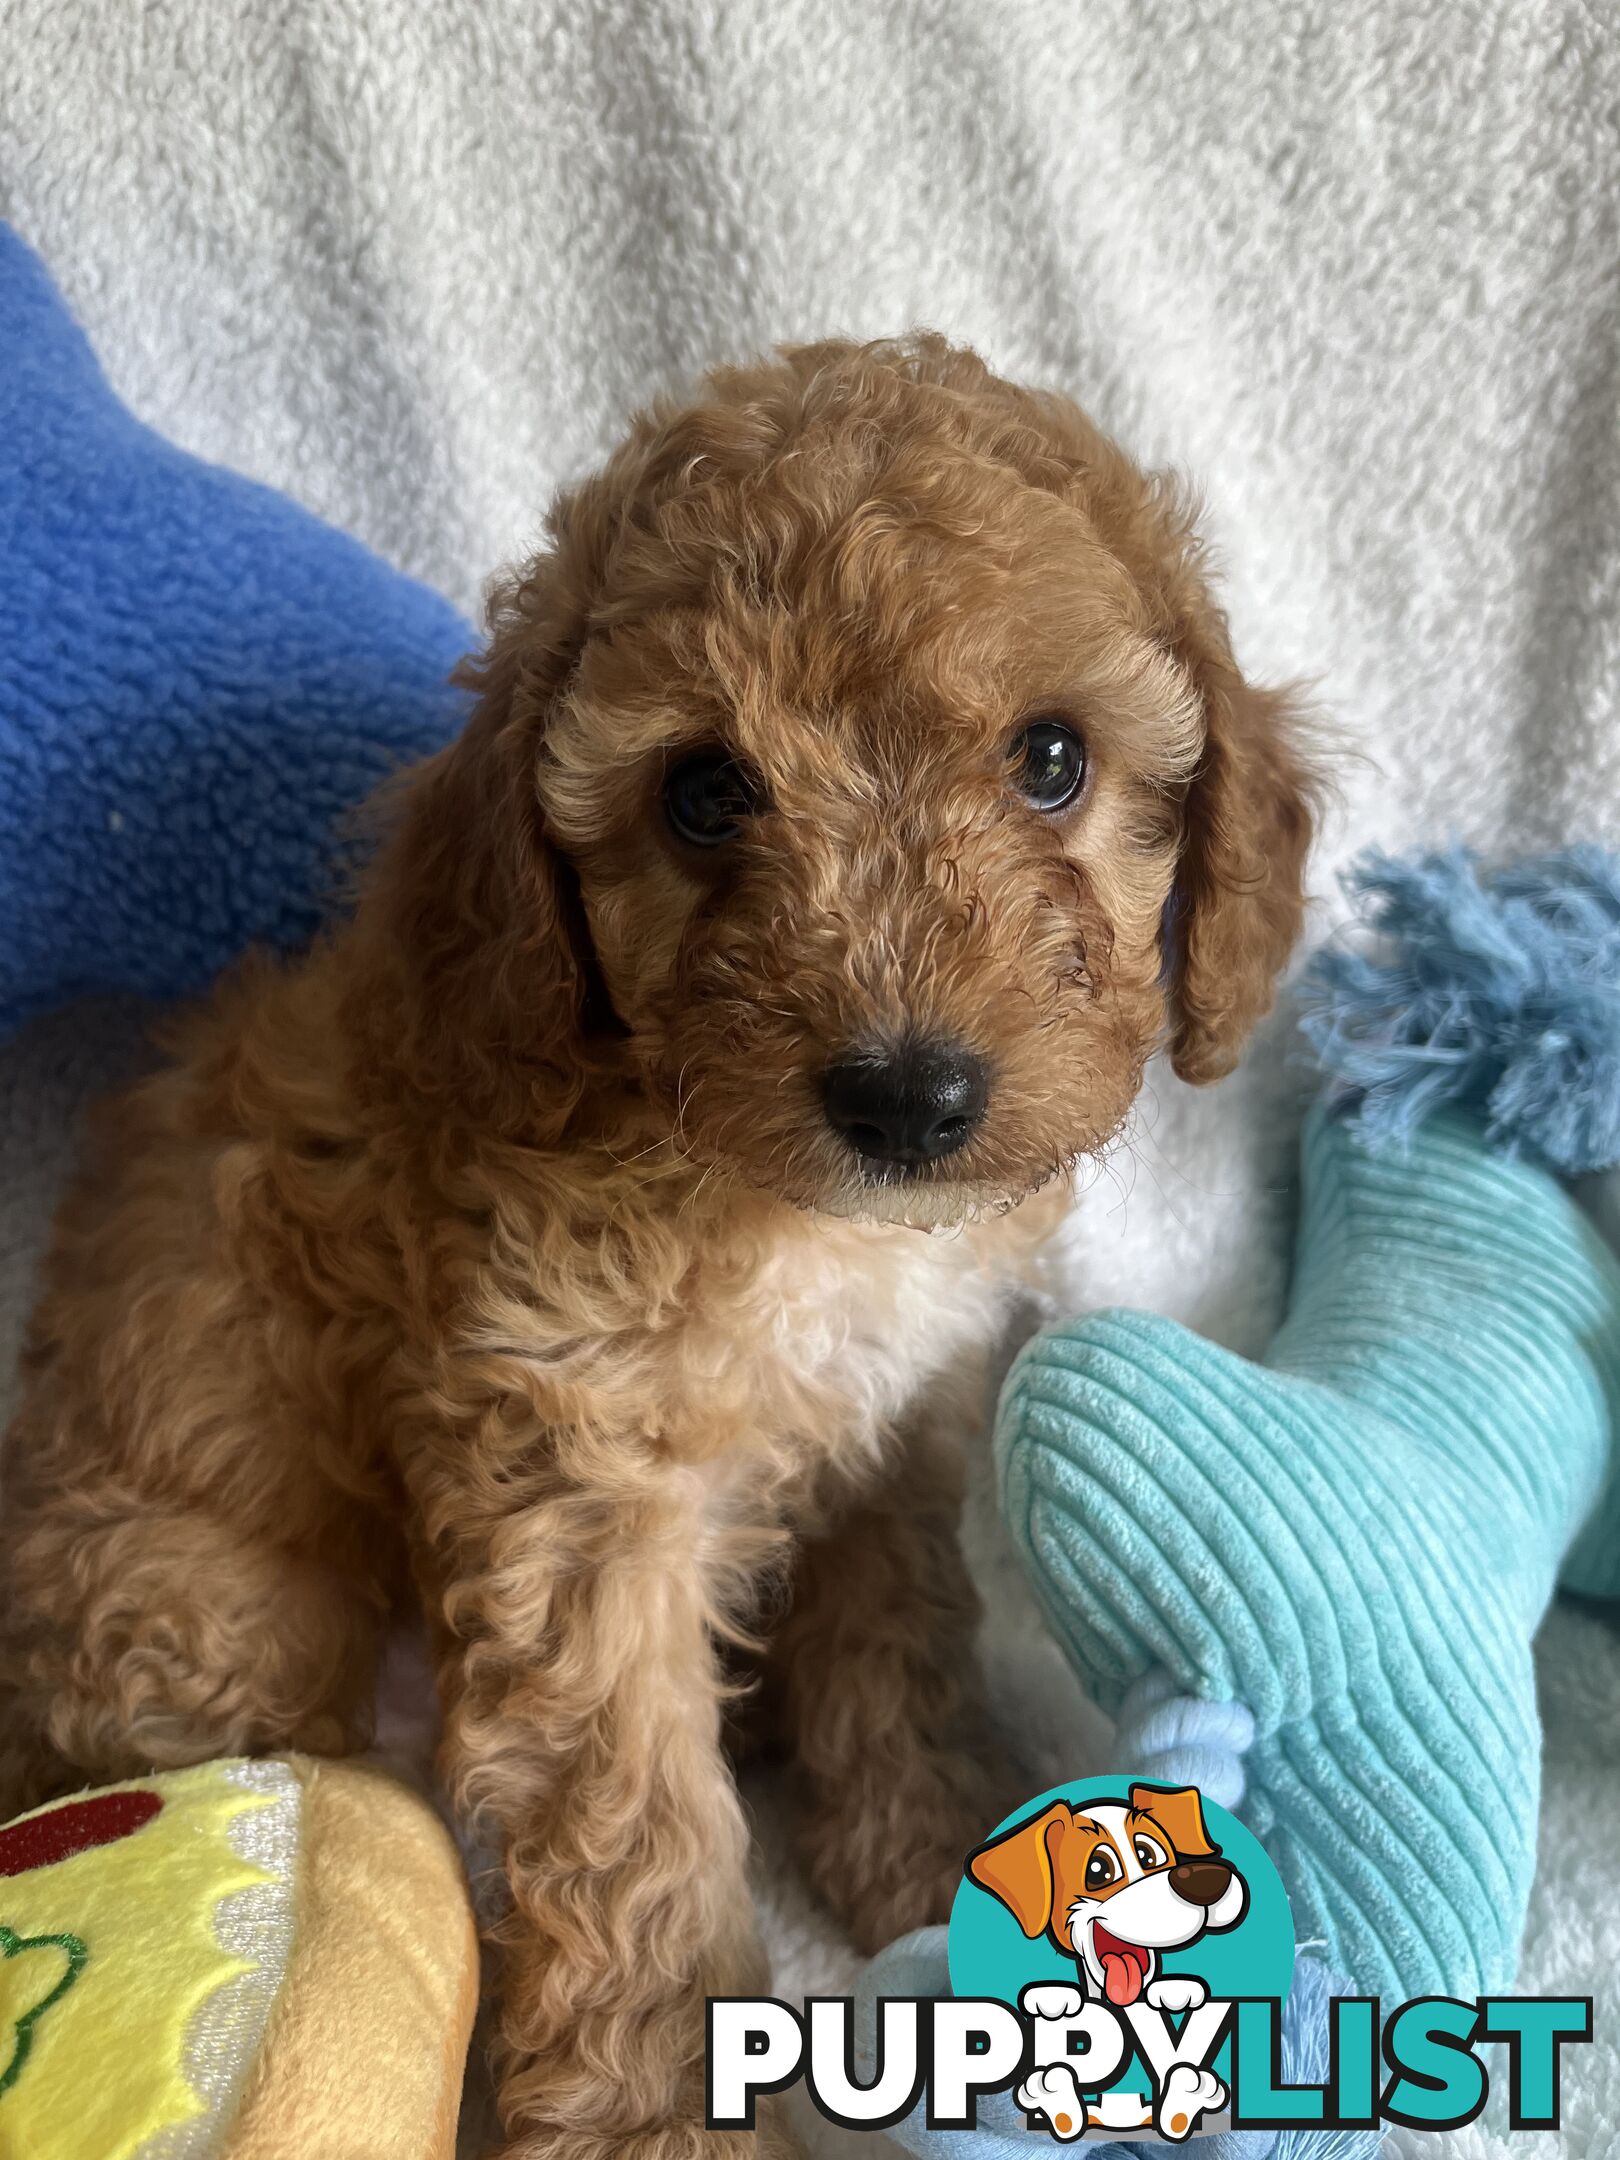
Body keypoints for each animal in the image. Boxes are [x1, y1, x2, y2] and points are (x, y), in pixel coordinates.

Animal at [0, 336, 1321, 2160]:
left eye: (1052, 760)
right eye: (704, 794)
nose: (907, 1094)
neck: (781, 1207)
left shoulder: (889, 1429)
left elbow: (898, 1640)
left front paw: (936, 1849)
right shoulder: (574, 1494)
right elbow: (633, 1830)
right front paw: (661, 2119)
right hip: (200, 1613)